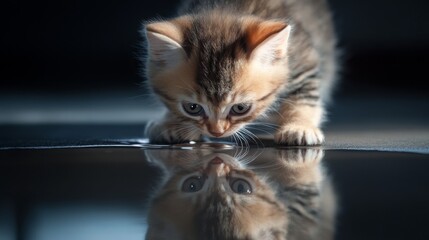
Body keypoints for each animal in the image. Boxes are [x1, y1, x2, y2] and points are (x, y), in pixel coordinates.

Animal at [142, 0, 336, 144]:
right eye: (192, 108)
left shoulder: (303, 63)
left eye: (240, 108)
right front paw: (171, 124)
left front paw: (299, 127)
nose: (216, 132)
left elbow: (305, 97)